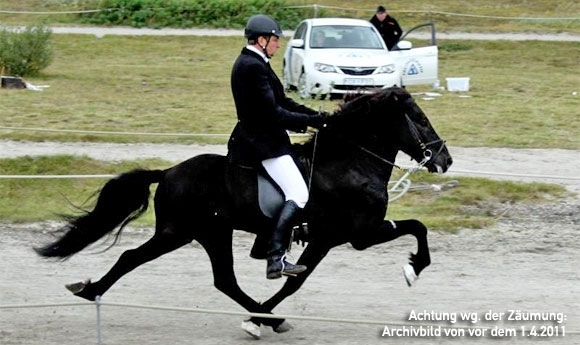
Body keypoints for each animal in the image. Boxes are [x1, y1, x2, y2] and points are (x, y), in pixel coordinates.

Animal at [35, 86, 454, 338]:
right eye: (419, 118)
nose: (445, 160)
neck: (349, 162)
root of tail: (168, 172)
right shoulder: (351, 234)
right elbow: (297, 280)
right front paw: (414, 268)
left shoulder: (339, 235)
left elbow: (415, 227)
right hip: (195, 232)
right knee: (197, 273)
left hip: (192, 233)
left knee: (172, 267)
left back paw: (89, 290)